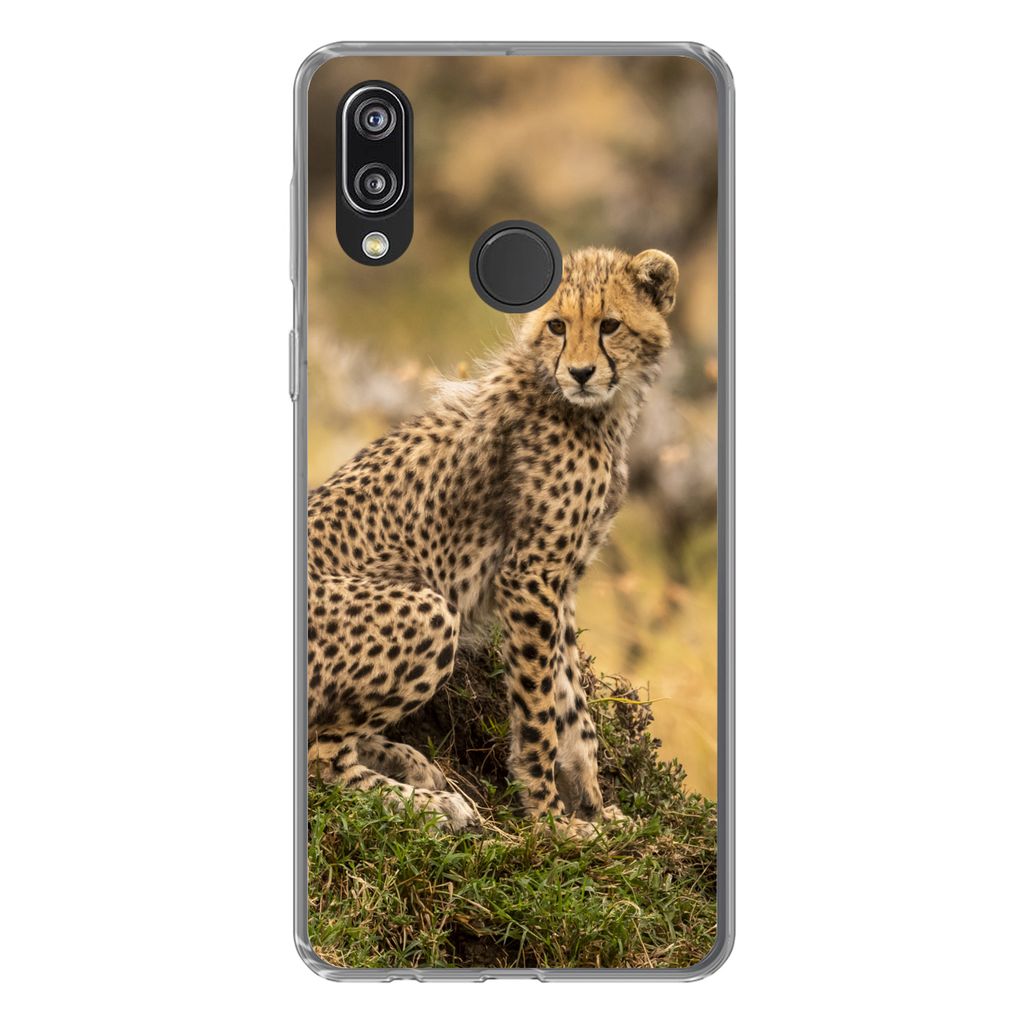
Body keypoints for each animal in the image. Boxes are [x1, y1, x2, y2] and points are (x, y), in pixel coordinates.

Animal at [307, 246, 679, 837]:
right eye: (557, 326)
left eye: (609, 325)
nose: (580, 372)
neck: (592, 411)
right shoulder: (529, 577)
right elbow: (539, 708)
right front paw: (550, 820)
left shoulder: (560, 581)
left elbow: (573, 705)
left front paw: (596, 807)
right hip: (429, 610)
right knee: (322, 757)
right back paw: (430, 804)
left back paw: (409, 762)